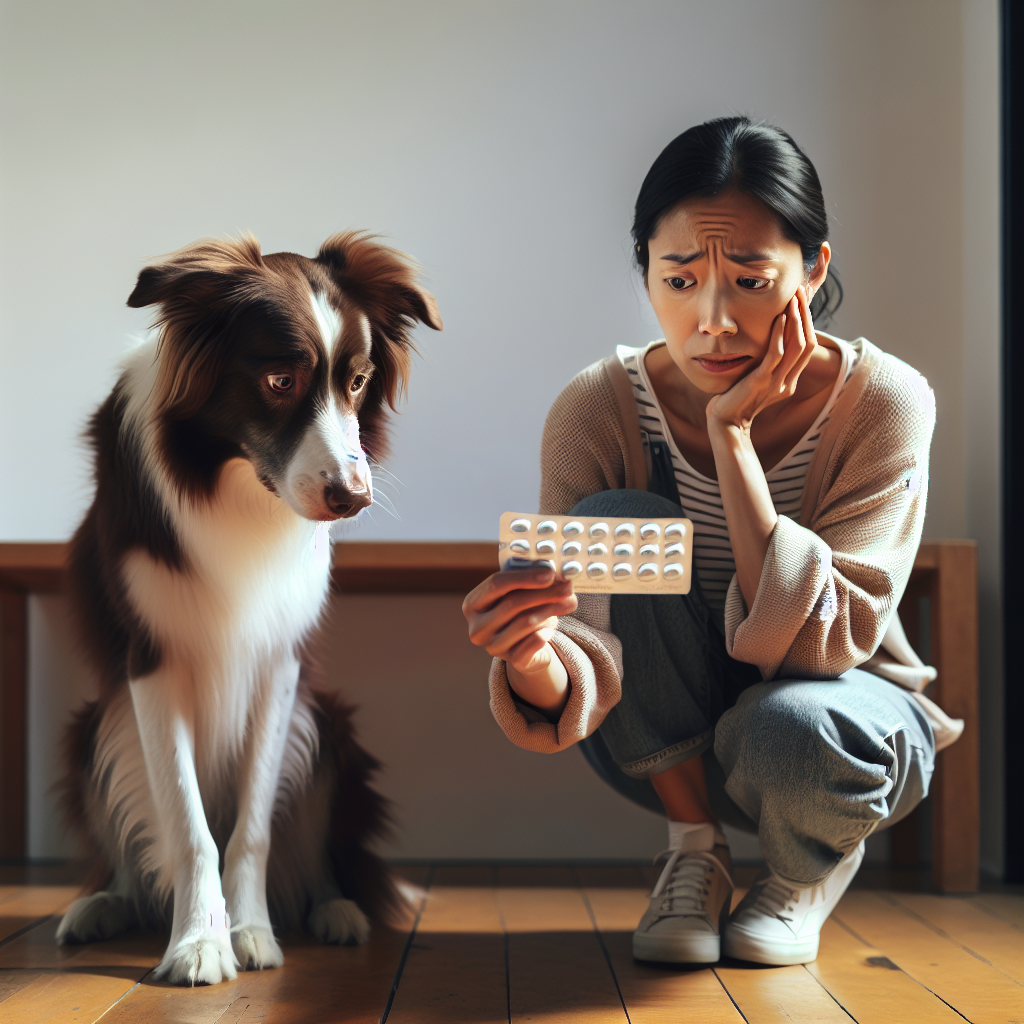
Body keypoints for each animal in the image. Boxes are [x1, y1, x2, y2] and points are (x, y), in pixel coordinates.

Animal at [56, 230, 440, 983]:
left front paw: (250, 930)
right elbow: (189, 824)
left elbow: (252, 828)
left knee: (322, 862)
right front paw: (200, 941)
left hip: (330, 728)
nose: (354, 497)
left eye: (357, 382)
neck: (233, 482)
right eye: (280, 381)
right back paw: (102, 906)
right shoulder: (150, 662)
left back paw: (335, 911)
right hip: (96, 727)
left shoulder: (280, 663)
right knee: (129, 864)